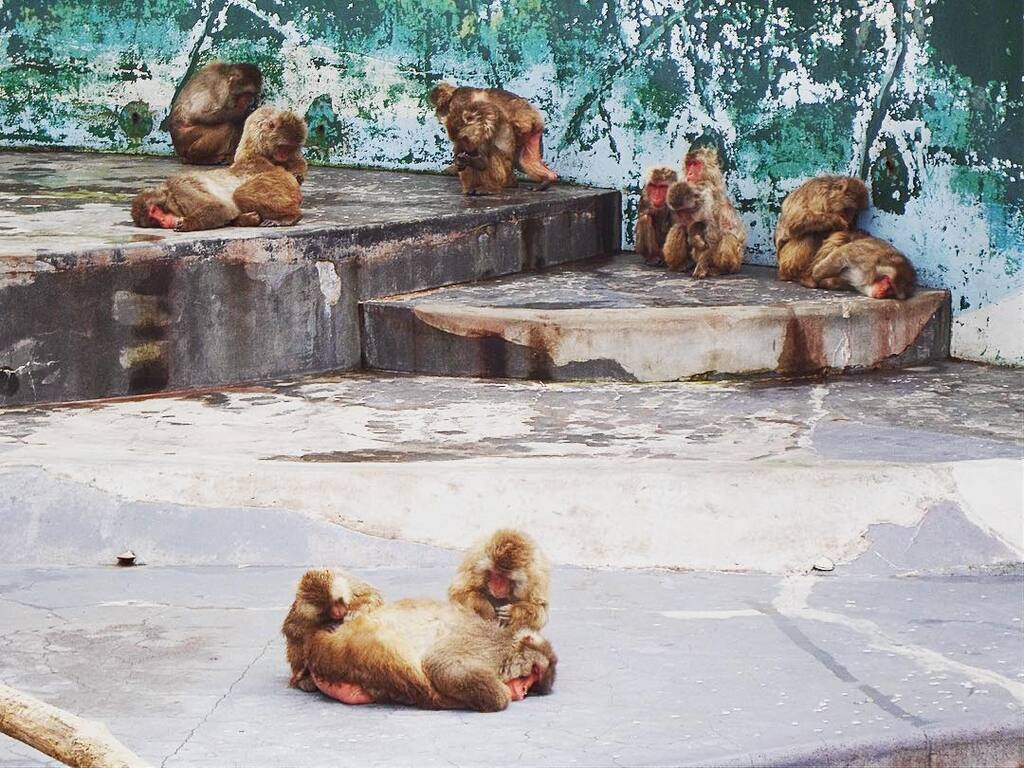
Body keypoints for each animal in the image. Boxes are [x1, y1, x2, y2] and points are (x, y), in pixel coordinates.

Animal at [132, 106, 307, 232]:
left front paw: (188, 223)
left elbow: (221, 207)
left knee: (241, 195)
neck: (170, 193)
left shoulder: (182, 189)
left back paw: (291, 216)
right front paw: (248, 219)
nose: (163, 222)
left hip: (279, 180)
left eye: (156, 212)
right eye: (153, 220)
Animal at [305, 597, 557, 712]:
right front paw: (501, 695)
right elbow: (440, 662)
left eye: (533, 686)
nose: (523, 691)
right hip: (363, 643)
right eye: (532, 673)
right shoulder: (486, 646)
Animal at [430, 83, 558, 193]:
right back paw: (548, 178)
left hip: (525, 127)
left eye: (441, 107)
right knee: (523, 160)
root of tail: (536, 119)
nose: (438, 113)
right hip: (532, 133)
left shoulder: (459, 103)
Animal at [673, 146, 746, 279]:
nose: (689, 173)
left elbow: (713, 234)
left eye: (695, 164)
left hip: (736, 261)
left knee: (728, 238)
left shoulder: (705, 192)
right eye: (689, 164)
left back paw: (721, 270)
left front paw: (700, 269)